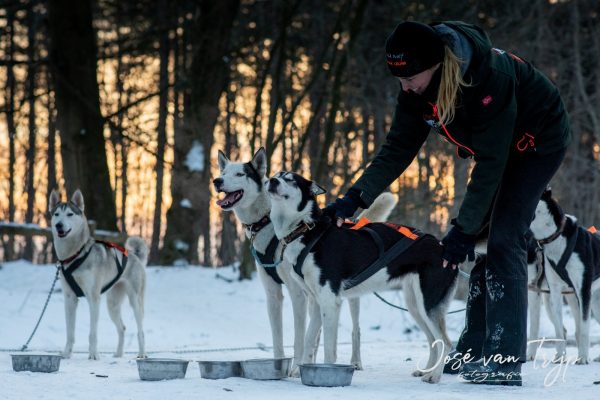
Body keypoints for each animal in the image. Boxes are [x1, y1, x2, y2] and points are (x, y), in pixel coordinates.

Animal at [48, 190, 148, 360]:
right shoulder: (69, 299)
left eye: (69, 214)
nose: (58, 225)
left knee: (141, 329)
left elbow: (93, 333)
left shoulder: (93, 298)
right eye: (56, 214)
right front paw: (66, 354)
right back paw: (118, 354)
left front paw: (94, 355)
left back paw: (141, 354)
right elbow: (70, 333)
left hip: (135, 301)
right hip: (112, 305)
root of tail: (134, 255)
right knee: (122, 328)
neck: (75, 255)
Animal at [213, 148, 396, 374]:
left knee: (355, 329)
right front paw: (278, 367)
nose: (217, 181)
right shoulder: (273, 294)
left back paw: (355, 361)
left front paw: (293, 370)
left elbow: (299, 338)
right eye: (224, 172)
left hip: (350, 296)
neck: (268, 223)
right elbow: (279, 338)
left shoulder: (297, 294)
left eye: (240, 174)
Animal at [264, 172, 458, 384]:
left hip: (427, 304)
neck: (306, 230)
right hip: (416, 306)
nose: (271, 180)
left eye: (290, 179)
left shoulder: (329, 301)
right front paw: (300, 371)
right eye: (276, 175)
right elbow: (309, 340)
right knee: (433, 340)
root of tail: (442, 247)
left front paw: (327, 374)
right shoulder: (316, 301)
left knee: (445, 342)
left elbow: (328, 349)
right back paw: (427, 371)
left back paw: (435, 376)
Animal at [528, 188, 600, 362]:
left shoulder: (583, 290)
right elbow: (559, 330)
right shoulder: (555, 291)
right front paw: (560, 357)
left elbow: (584, 329)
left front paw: (583, 358)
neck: (556, 237)